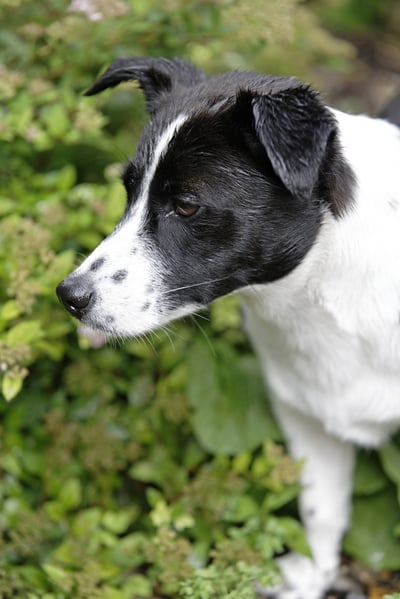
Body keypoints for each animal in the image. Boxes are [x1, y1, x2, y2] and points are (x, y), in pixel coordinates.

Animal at [55, 57, 400, 599]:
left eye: (187, 205)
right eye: (128, 191)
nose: (69, 297)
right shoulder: (305, 414)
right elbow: (321, 508)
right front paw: (312, 577)